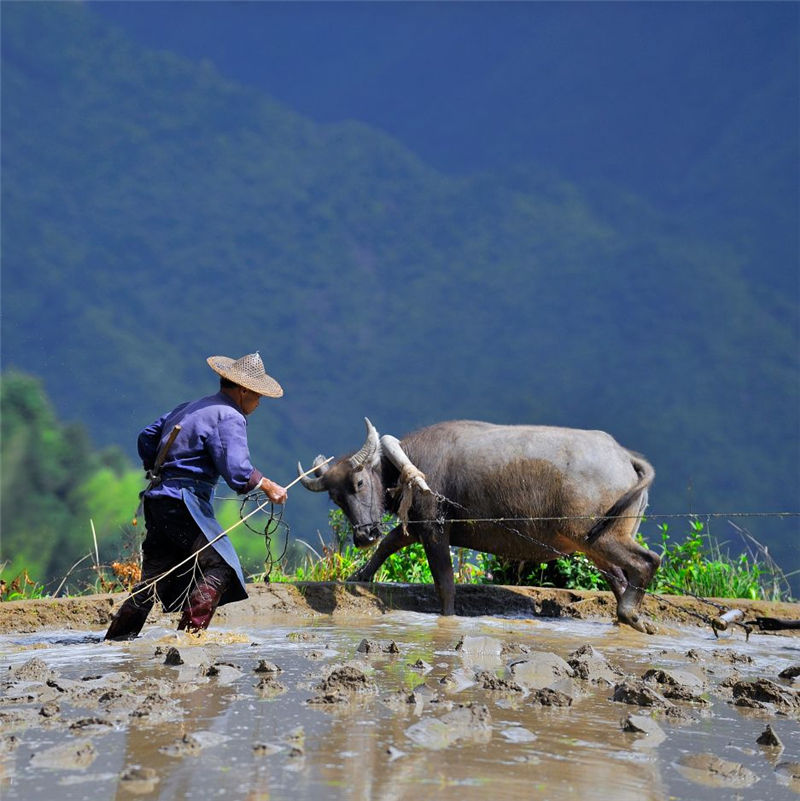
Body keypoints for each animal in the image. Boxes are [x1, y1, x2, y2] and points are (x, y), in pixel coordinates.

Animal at [296, 418, 660, 632]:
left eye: (359, 483)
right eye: (335, 498)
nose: (363, 535)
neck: (407, 465)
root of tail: (624, 456)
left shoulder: (434, 528)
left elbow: (444, 583)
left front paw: (447, 615)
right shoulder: (417, 526)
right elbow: (389, 544)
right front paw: (361, 575)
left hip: (598, 535)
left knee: (646, 562)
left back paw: (630, 613)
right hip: (596, 540)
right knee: (619, 576)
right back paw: (629, 618)